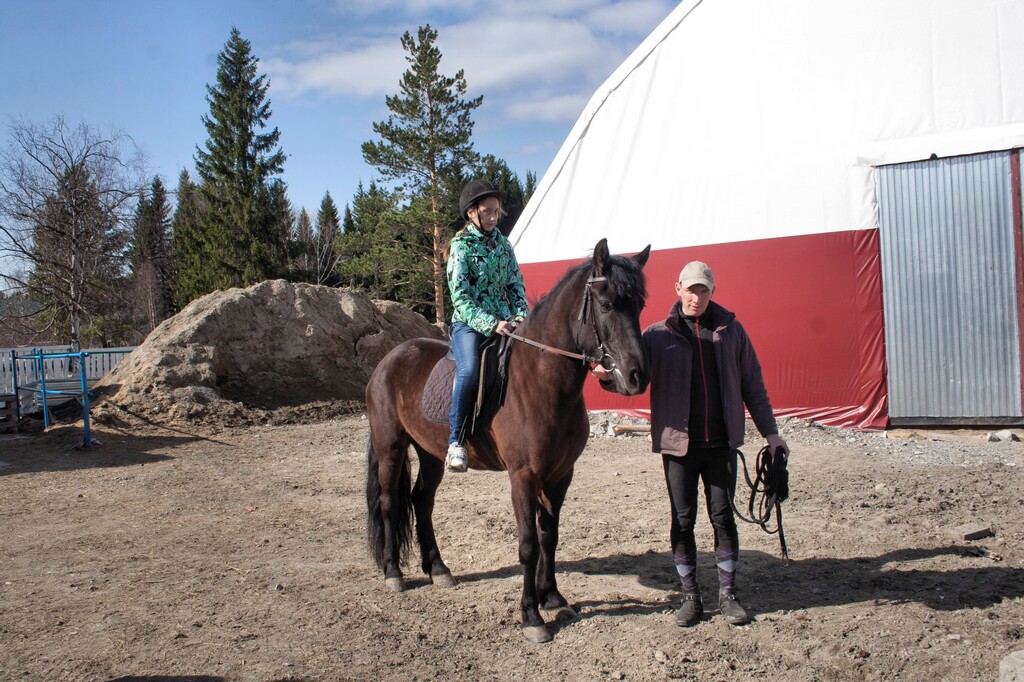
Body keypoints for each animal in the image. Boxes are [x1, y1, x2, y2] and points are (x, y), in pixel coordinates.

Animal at [364, 236, 647, 638]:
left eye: (639, 305)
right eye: (606, 304)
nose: (637, 376)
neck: (541, 381)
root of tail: (388, 360)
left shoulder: (560, 475)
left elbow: (549, 536)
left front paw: (553, 598)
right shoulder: (523, 477)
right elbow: (528, 544)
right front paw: (531, 616)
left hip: (430, 453)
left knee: (421, 501)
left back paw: (439, 570)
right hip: (391, 446)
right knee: (389, 503)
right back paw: (393, 573)